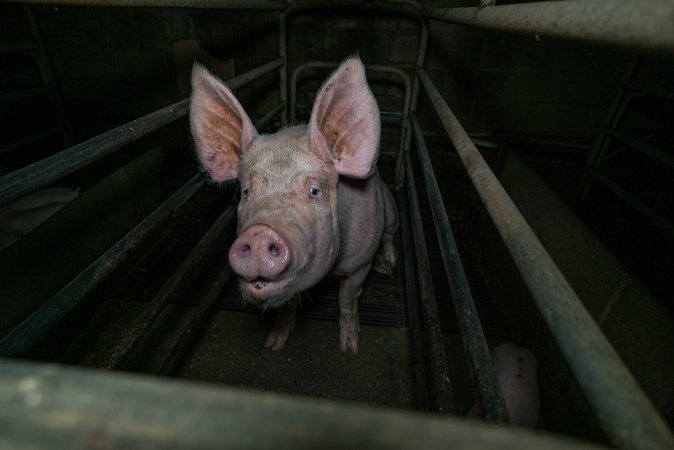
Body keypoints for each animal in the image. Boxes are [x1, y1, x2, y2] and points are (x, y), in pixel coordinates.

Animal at [189, 55, 396, 356]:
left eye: (314, 191)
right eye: (247, 191)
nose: (260, 233)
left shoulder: (360, 263)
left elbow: (347, 299)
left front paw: (349, 349)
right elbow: (288, 304)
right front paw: (274, 344)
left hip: (390, 209)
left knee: (390, 233)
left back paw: (388, 265)